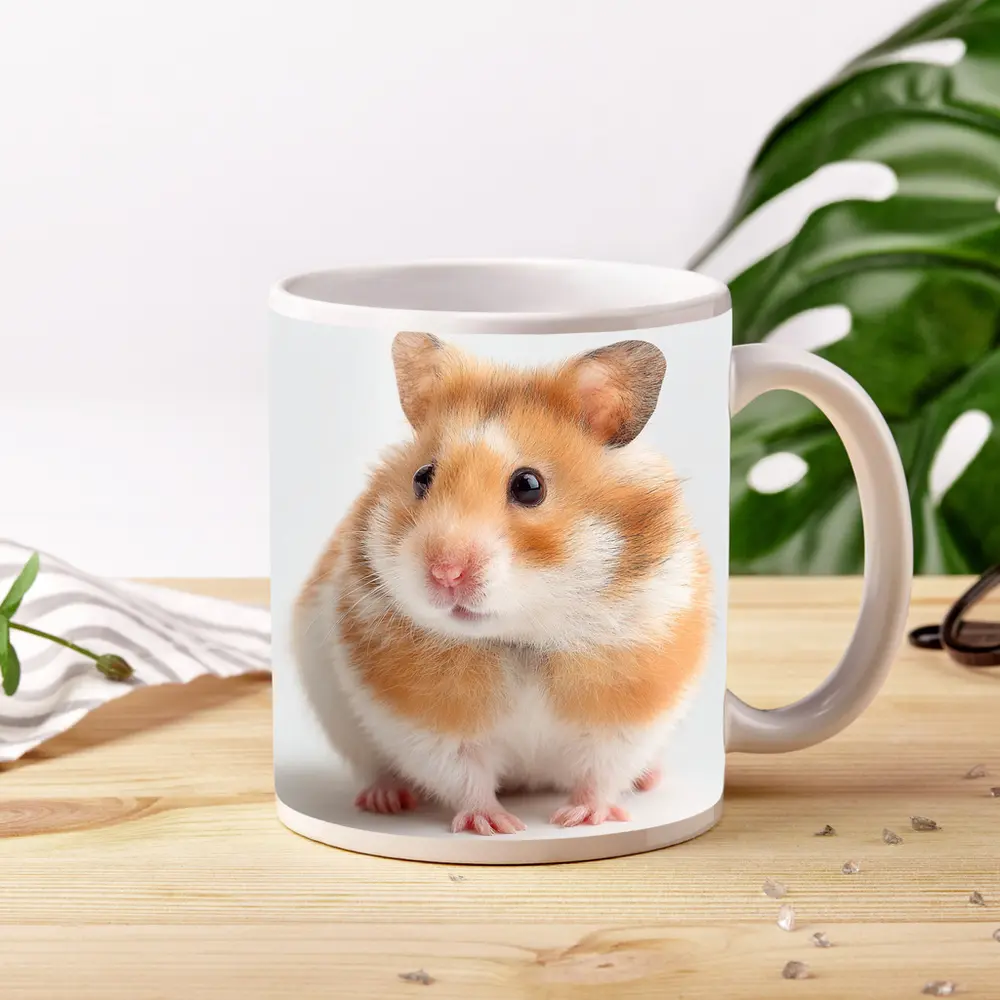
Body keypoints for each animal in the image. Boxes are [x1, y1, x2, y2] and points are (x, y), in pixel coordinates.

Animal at [292, 331, 711, 835]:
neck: (520, 637)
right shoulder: (425, 723)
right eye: (422, 477)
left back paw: (649, 781)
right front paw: (497, 826)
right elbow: (464, 774)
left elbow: (602, 771)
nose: (445, 572)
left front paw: (580, 820)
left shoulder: (631, 710)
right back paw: (386, 800)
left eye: (529, 485)